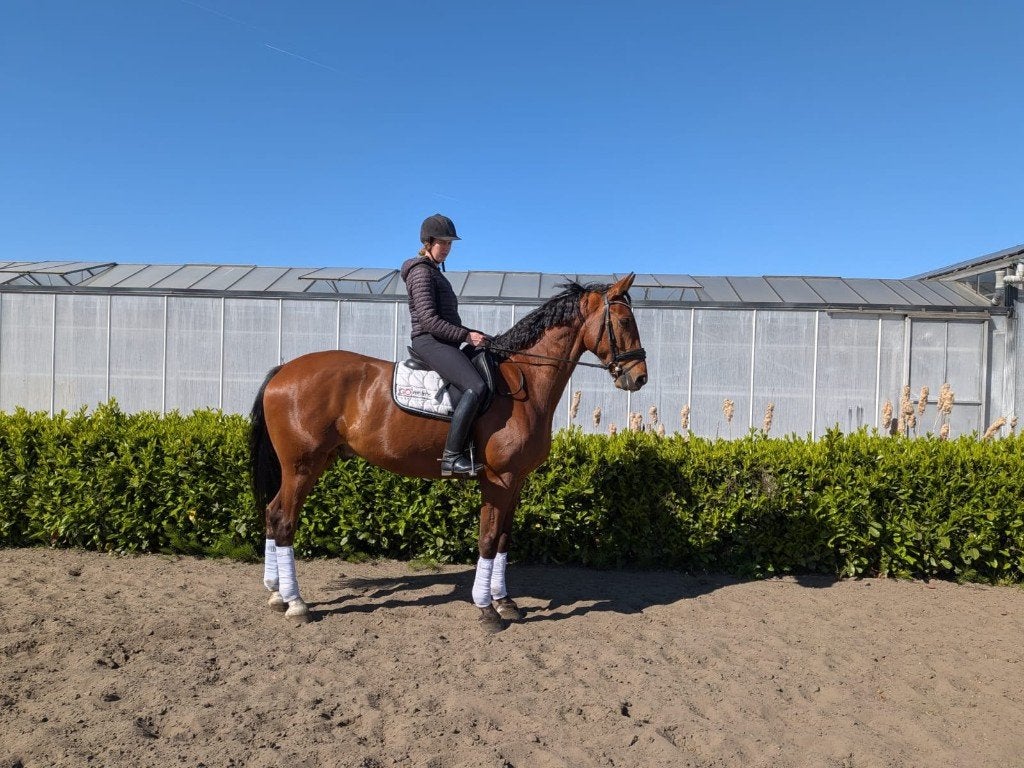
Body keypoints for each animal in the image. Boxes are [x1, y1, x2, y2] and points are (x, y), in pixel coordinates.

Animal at [248, 272, 648, 630]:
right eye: (624, 320)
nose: (639, 377)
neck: (524, 381)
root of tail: (284, 370)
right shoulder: (498, 480)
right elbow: (487, 539)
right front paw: (487, 610)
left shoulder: (516, 481)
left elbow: (503, 540)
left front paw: (505, 602)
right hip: (302, 465)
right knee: (283, 519)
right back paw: (296, 603)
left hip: (311, 464)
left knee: (272, 514)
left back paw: (276, 594)